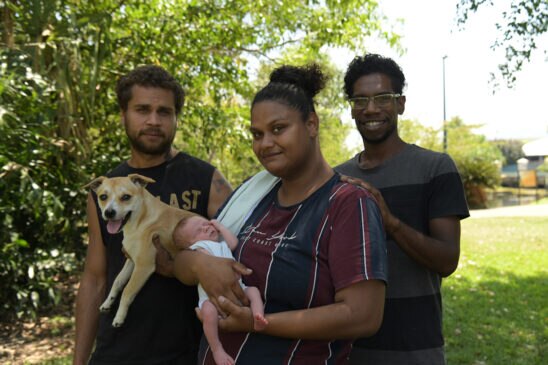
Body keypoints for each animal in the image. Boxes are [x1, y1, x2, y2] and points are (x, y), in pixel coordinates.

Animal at [84, 173, 196, 328]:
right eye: (103, 197)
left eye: (126, 197)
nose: (109, 212)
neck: (142, 219)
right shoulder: (131, 261)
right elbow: (118, 281)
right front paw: (108, 302)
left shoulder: (143, 266)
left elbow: (127, 290)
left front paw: (119, 316)